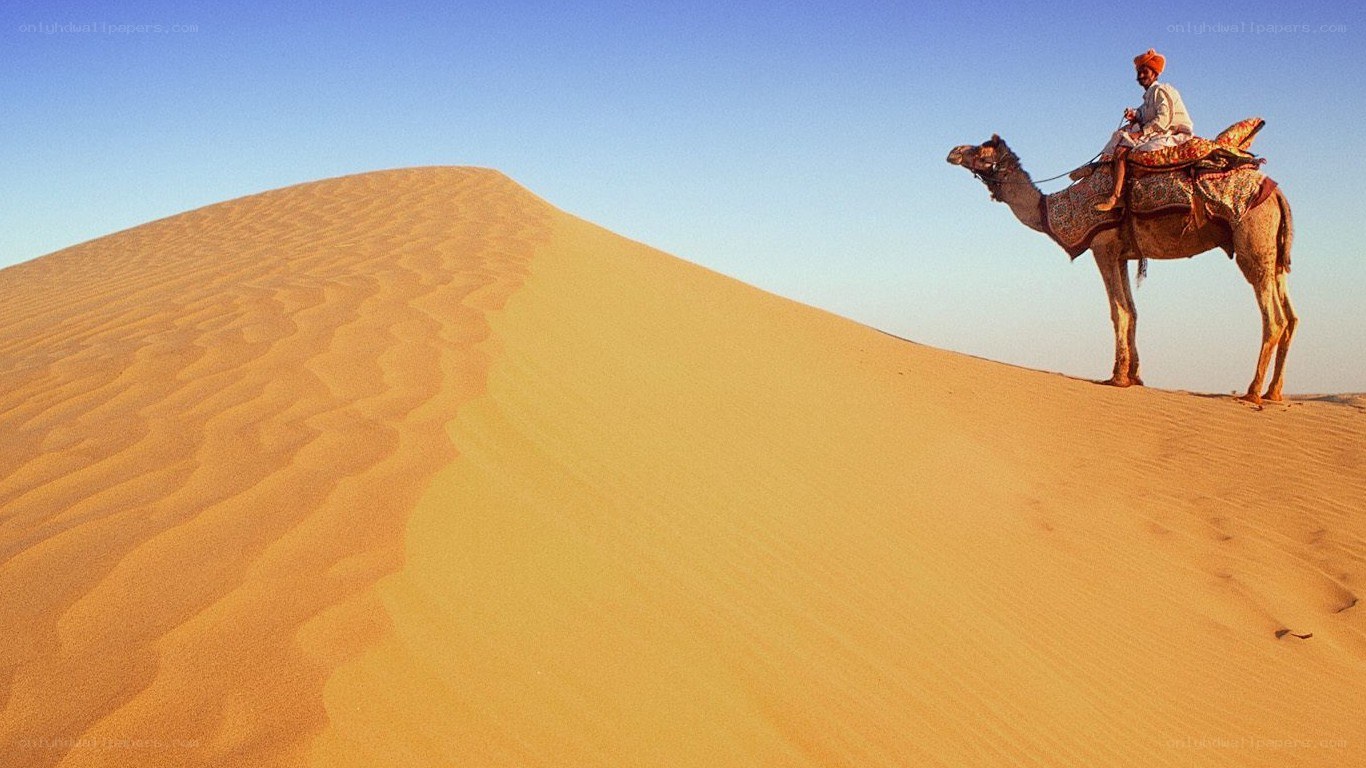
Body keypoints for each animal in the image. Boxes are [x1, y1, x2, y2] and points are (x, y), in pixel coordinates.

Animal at [946, 135, 1296, 404]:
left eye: (982, 149)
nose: (954, 151)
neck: (1052, 210)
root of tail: (1279, 195)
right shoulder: (1124, 254)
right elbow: (1133, 310)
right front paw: (1135, 376)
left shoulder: (1103, 247)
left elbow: (1119, 311)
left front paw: (1116, 377)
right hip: (1275, 255)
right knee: (1291, 318)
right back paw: (1274, 393)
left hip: (1252, 244)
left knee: (1274, 319)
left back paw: (1252, 392)